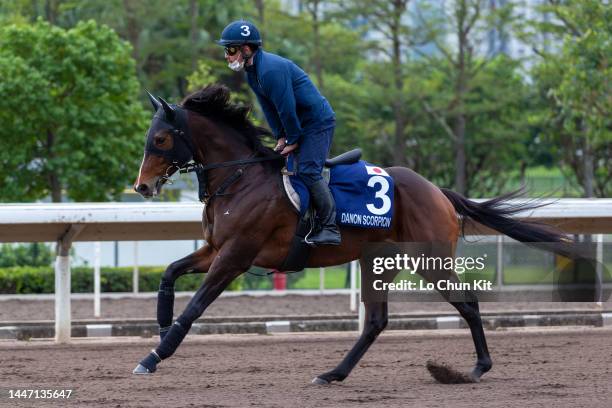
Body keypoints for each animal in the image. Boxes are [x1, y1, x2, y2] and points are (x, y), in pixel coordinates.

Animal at [133, 84, 568, 384]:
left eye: (161, 139)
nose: (142, 186)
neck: (240, 178)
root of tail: (437, 191)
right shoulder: (215, 249)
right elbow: (169, 273)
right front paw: (160, 326)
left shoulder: (236, 255)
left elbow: (195, 308)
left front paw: (154, 355)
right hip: (377, 262)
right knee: (376, 321)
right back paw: (333, 373)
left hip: (429, 258)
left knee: (468, 302)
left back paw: (478, 368)